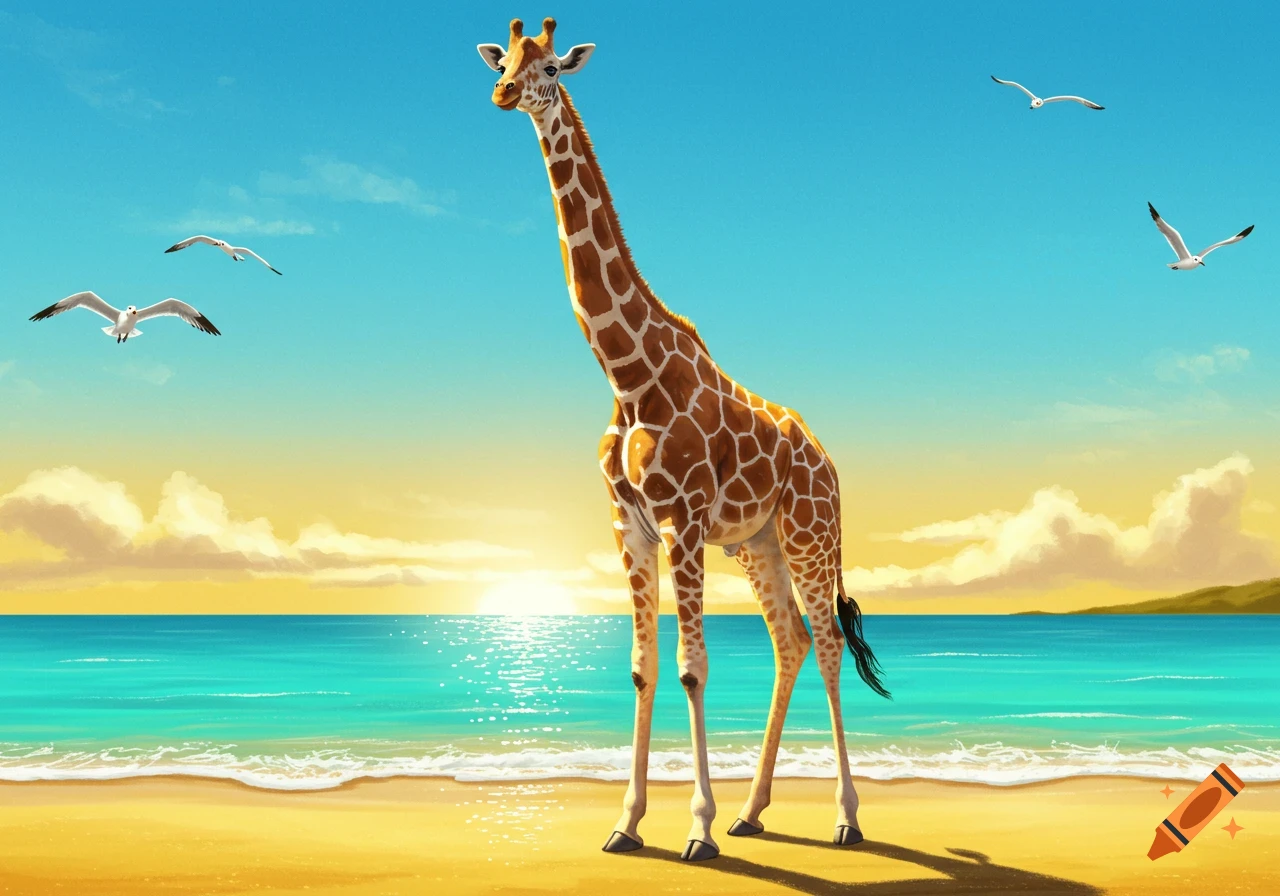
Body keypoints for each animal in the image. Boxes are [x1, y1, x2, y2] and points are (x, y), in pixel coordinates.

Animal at [477, 17, 890, 862]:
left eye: (550, 67)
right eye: (503, 58)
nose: (501, 93)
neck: (626, 373)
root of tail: (831, 463)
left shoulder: (684, 521)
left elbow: (693, 667)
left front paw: (695, 828)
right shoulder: (629, 525)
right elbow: (642, 668)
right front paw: (628, 823)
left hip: (810, 534)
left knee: (830, 644)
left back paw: (844, 817)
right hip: (758, 544)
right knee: (792, 641)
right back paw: (754, 811)